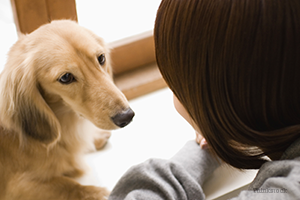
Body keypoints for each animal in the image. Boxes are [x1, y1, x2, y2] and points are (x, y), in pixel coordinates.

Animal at [0, 19, 135, 200]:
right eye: (65, 77)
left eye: (101, 58)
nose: (127, 116)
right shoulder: (16, 186)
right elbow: (67, 185)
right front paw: (98, 193)